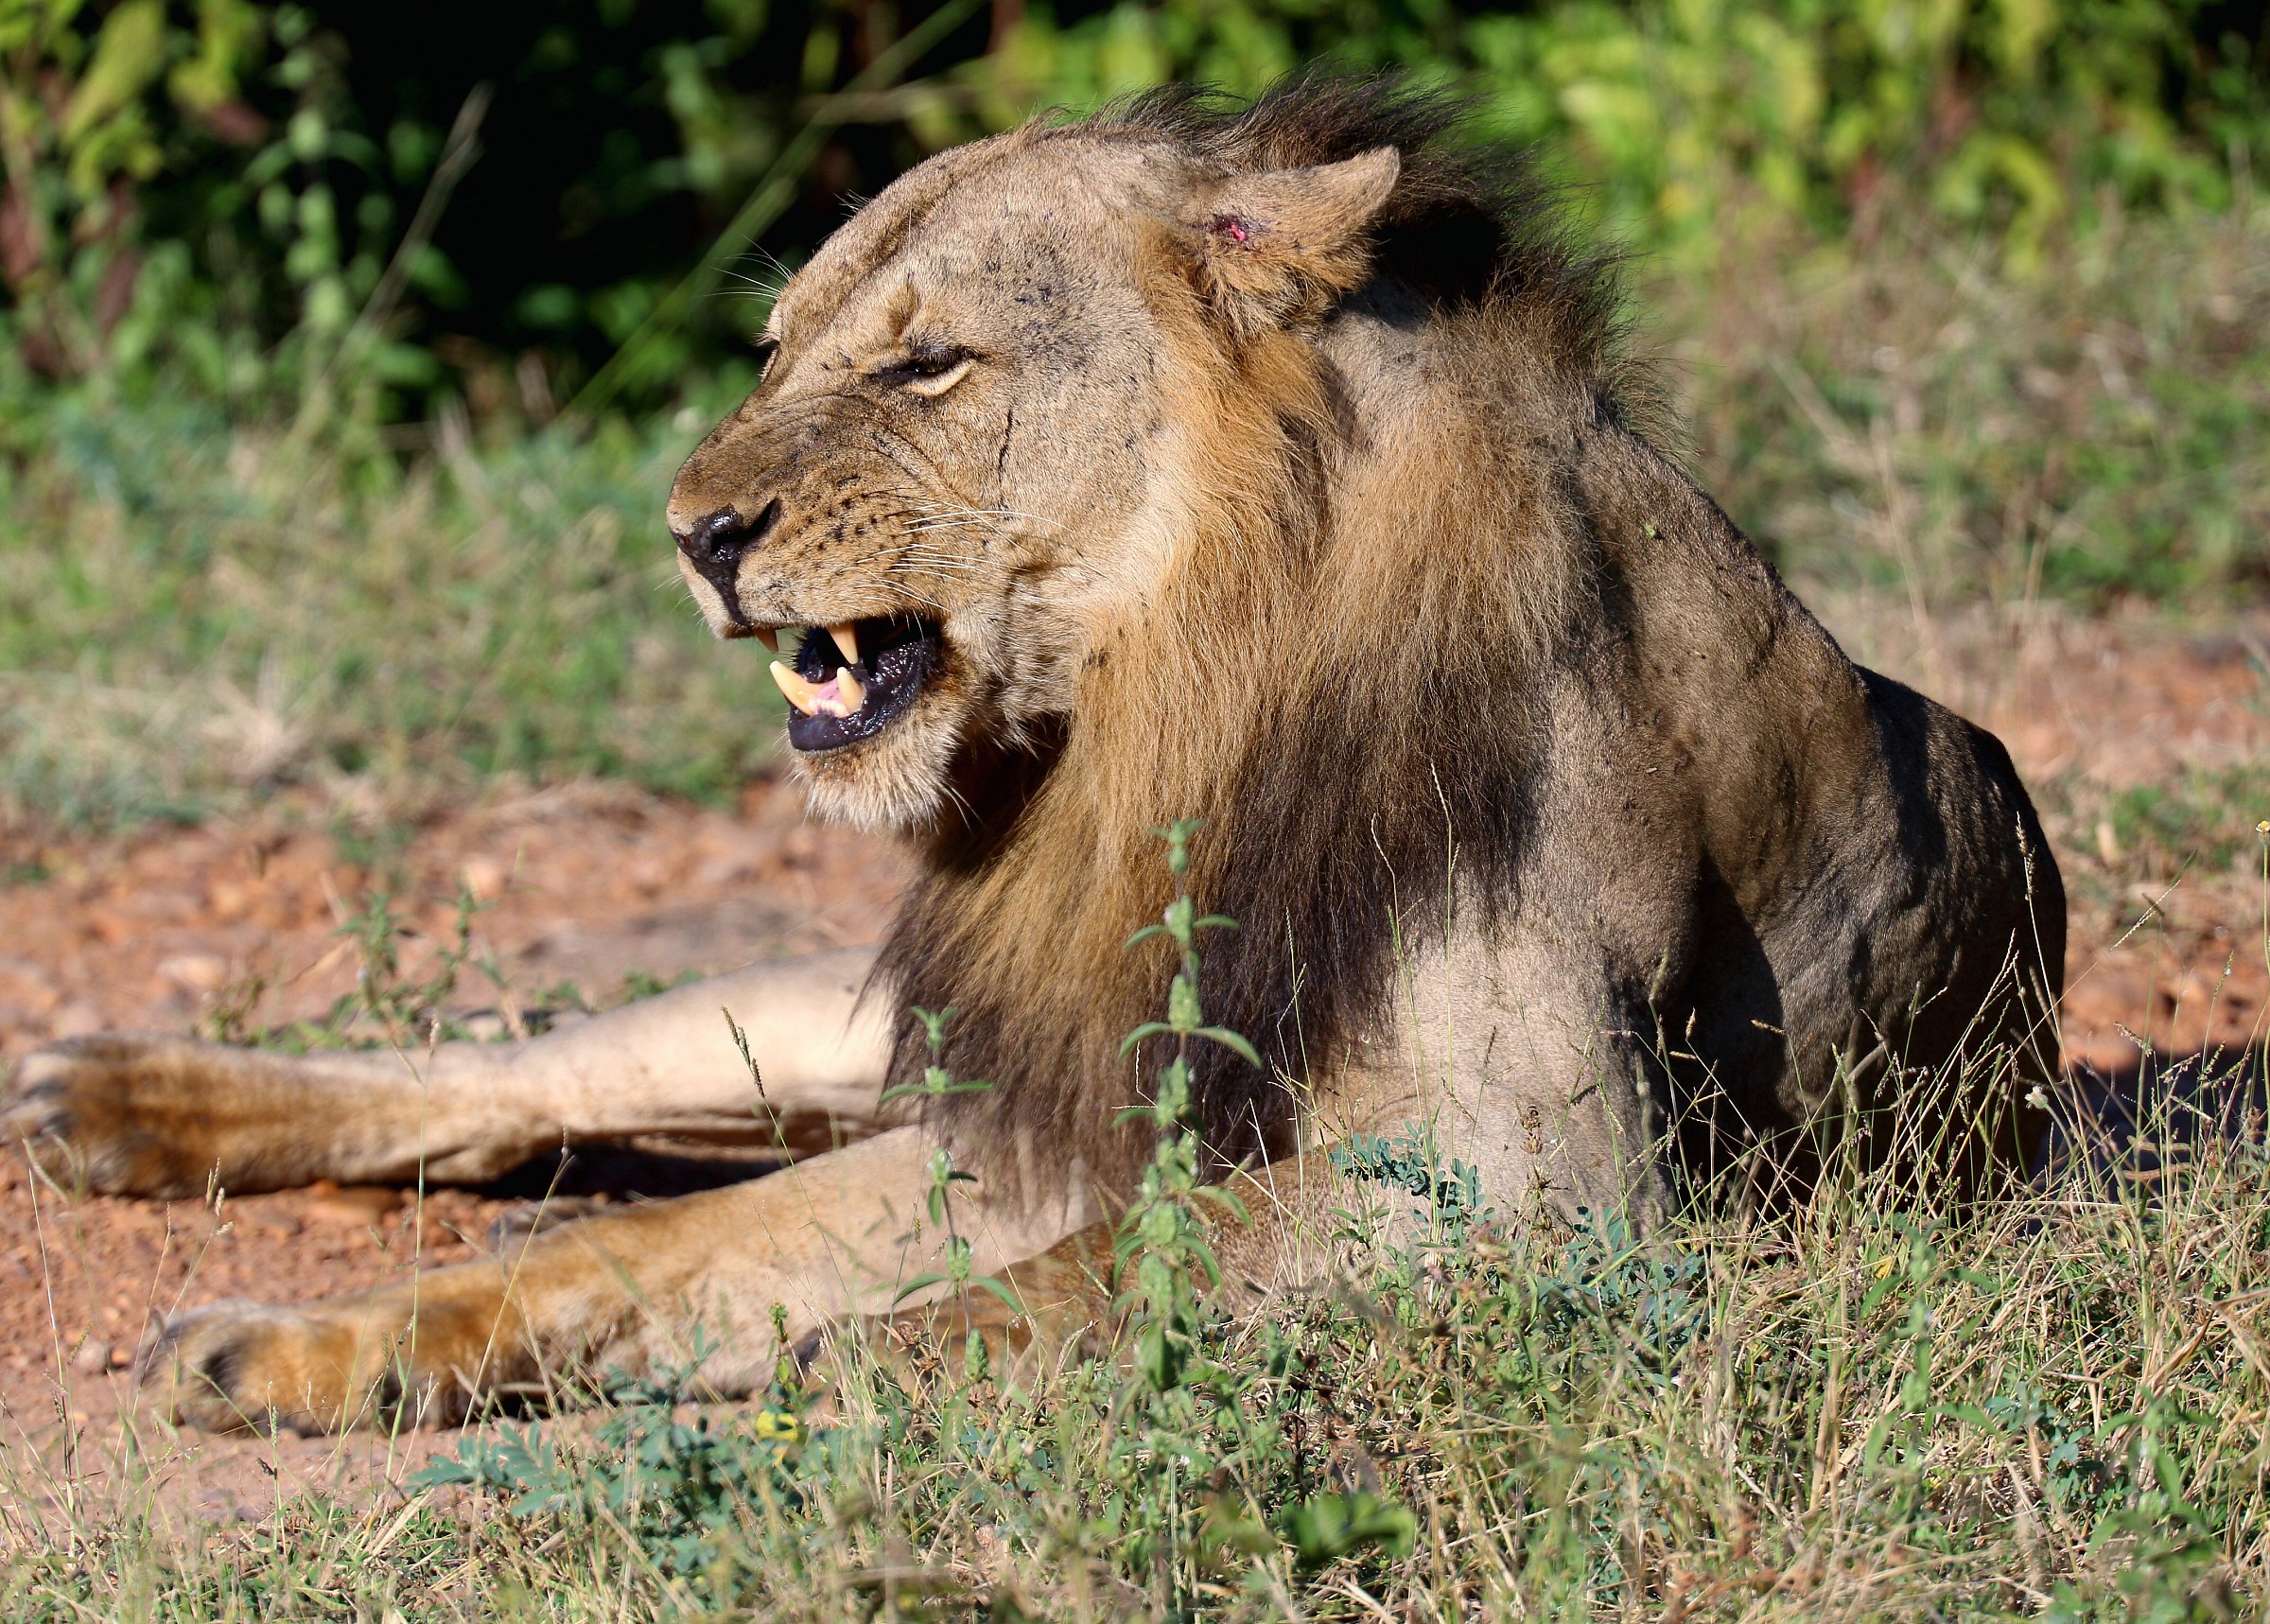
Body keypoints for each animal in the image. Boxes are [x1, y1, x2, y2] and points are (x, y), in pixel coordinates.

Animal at [3, 76, 2064, 1434]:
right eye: (775, 350)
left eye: (929, 367)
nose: (692, 533)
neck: (1162, 711)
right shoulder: (1050, 1106)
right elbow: (650, 1250)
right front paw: (323, 1344)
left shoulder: (1544, 1176)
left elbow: (1042, 1290)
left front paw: (821, 1397)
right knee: (525, 1071)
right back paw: (120, 1108)